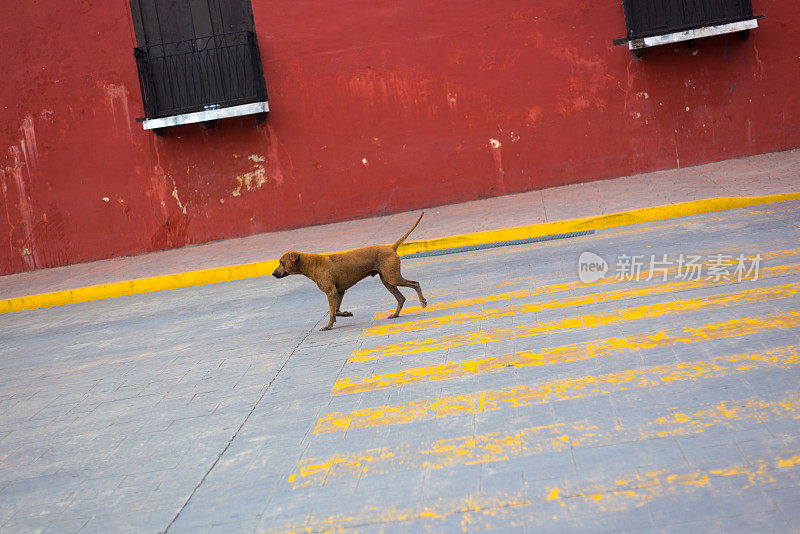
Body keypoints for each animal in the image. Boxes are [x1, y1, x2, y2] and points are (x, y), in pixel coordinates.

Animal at [272, 214, 428, 330]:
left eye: (281, 262)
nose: (273, 273)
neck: (311, 263)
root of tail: (391, 247)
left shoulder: (331, 292)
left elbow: (331, 311)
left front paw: (328, 326)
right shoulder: (339, 291)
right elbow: (335, 310)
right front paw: (346, 314)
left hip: (393, 277)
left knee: (415, 284)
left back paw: (423, 302)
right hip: (387, 280)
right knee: (401, 298)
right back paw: (395, 314)